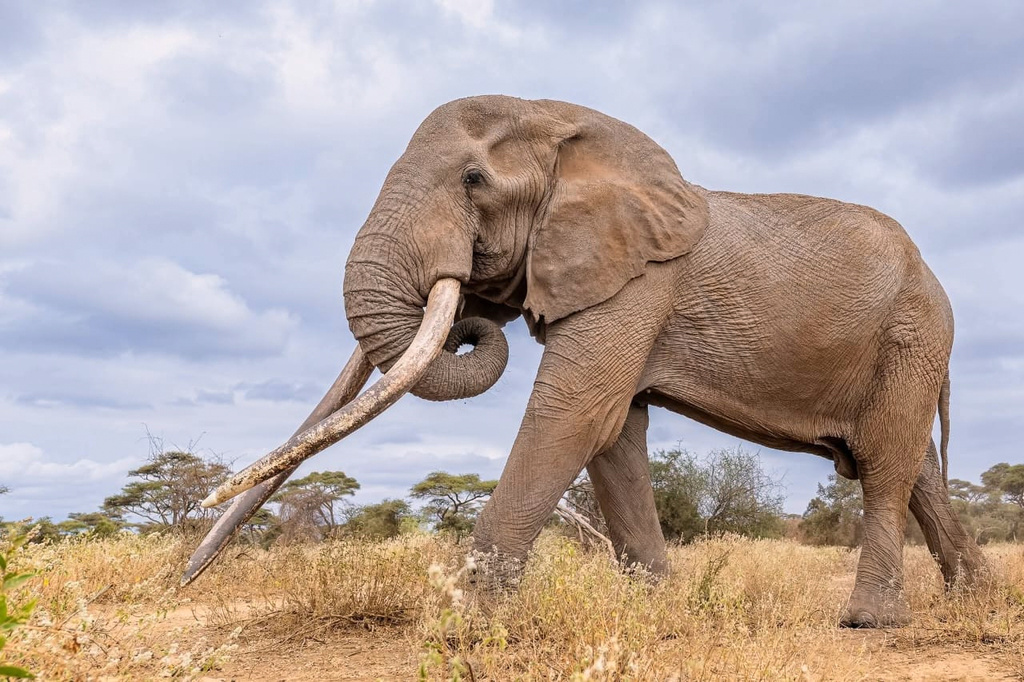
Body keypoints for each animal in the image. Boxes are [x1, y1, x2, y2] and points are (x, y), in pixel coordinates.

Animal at [185, 95, 987, 628]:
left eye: (472, 181)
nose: (182, 578)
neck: (562, 124)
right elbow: (614, 436)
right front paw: (656, 612)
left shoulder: (638, 281)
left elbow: (575, 414)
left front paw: (468, 623)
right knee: (913, 466)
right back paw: (975, 597)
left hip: (913, 333)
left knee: (884, 461)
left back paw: (871, 622)